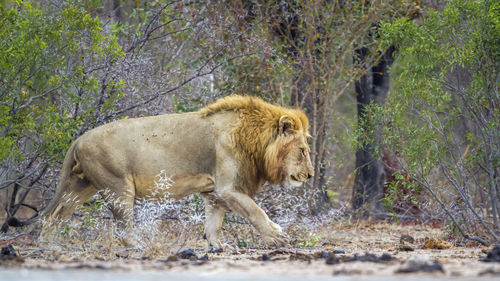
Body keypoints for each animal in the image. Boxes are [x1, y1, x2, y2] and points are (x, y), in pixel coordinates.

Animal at [27, 95, 312, 248]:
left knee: (54, 214)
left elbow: (215, 222)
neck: (256, 141)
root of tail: (78, 139)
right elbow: (255, 211)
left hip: (81, 184)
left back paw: (47, 245)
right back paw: (138, 246)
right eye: (303, 150)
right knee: (123, 227)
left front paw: (216, 246)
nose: (309, 175)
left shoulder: (214, 192)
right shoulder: (228, 188)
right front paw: (277, 237)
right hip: (118, 186)